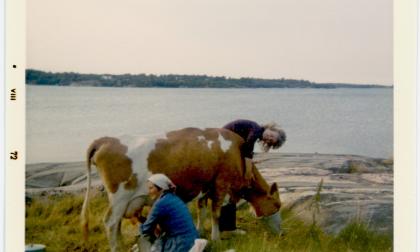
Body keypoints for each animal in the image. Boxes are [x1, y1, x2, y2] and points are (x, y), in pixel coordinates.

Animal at [80, 128, 280, 252]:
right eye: (277, 204)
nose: (281, 233)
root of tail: (105, 140)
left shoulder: (204, 186)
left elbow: (201, 211)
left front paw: (200, 231)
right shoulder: (220, 184)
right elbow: (215, 213)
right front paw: (216, 238)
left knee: (117, 225)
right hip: (120, 196)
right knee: (111, 222)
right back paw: (117, 248)